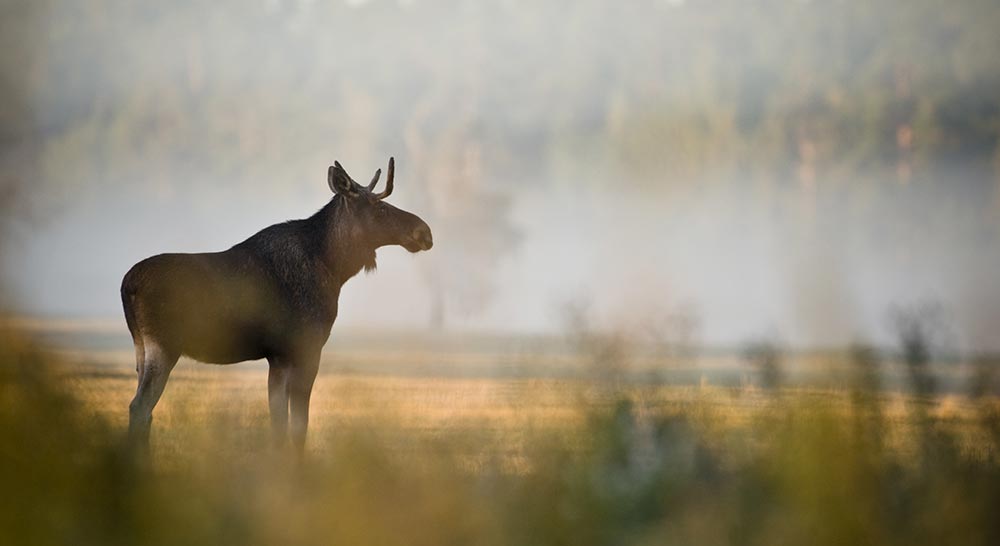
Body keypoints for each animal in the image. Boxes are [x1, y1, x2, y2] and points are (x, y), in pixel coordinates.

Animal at [119, 157, 432, 450]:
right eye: (380, 209)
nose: (424, 232)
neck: (333, 268)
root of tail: (126, 285)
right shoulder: (306, 348)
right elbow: (298, 427)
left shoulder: (278, 357)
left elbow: (279, 426)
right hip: (164, 345)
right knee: (140, 407)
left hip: (140, 349)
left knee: (143, 410)